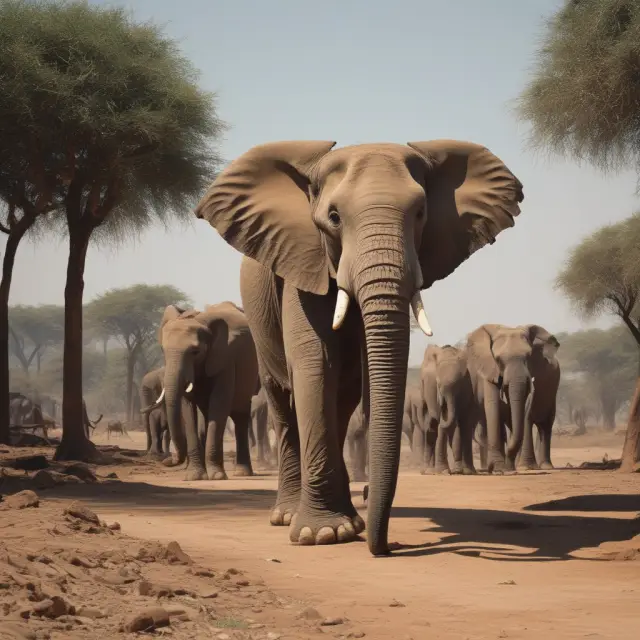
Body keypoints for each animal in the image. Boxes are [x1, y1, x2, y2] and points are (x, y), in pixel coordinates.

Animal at [148, 302, 260, 481]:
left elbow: (219, 403)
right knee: (209, 417)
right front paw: (195, 476)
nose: (168, 461)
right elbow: (188, 410)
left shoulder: (225, 359)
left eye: (195, 352)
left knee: (239, 416)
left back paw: (241, 473)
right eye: (163, 350)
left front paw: (217, 476)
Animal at [420, 344, 476, 475]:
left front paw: (466, 471)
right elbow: (443, 424)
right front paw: (444, 471)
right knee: (431, 427)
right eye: (438, 384)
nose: (441, 402)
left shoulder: (467, 388)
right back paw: (428, 471)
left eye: (458, 385)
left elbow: (464, 423)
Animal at [466, 324, 560, 473]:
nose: (508, 466)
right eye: (498, 359)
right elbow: (493, 404)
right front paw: (500, 468)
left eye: (528, 357)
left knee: (546, 424)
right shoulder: (488, 369)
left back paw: (544, 466)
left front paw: (507, 468)